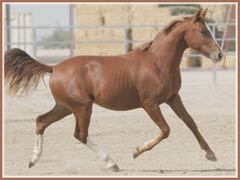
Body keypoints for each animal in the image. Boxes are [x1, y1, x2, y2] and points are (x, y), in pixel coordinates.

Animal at [4, 9, 222, 172]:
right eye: (203, 31)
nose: (219, 54)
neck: (157, 62)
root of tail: (54, 67)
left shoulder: (173, 98)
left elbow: (190, 122)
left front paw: (211, 154)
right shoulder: (150, 104)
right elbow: (166, 130)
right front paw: (136, 151)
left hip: (65, 107)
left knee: (41, 121)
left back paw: (33, 160)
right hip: (82, 107)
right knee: (80, 135)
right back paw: (112, 163)